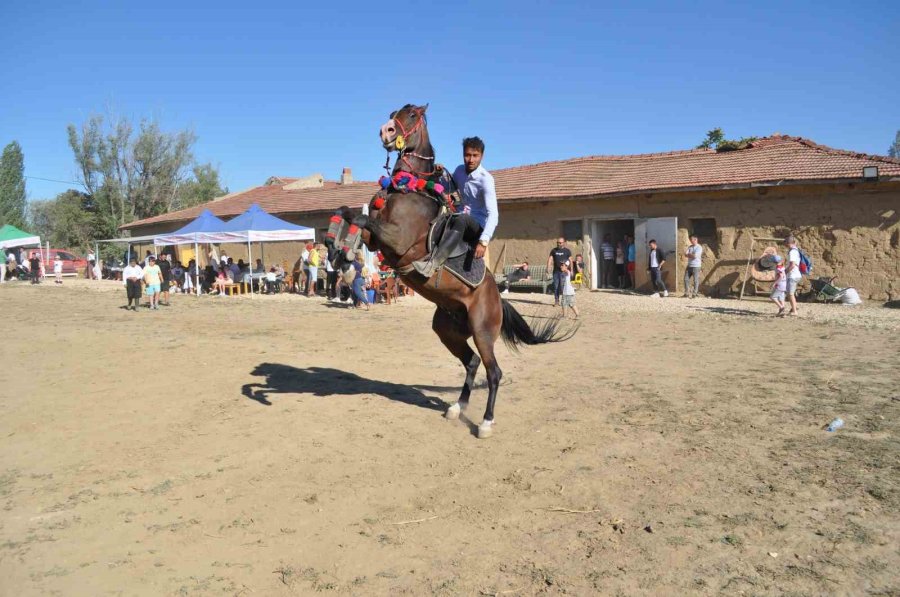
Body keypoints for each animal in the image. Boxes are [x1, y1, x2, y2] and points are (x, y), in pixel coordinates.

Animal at [328, 103, 568, 438]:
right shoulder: (377, 240)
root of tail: (497, 297)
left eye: (412, 115)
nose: (385, 131)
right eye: (394, 112)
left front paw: (343, 254)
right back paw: (457, 407)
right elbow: (349, 214)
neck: (410, 190)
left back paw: (486, 422)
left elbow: (362, 219)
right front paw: (338, 251)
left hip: (482, 331)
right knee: (471, 362)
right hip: (447, 330)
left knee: (493, 371)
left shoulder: (396, 239)